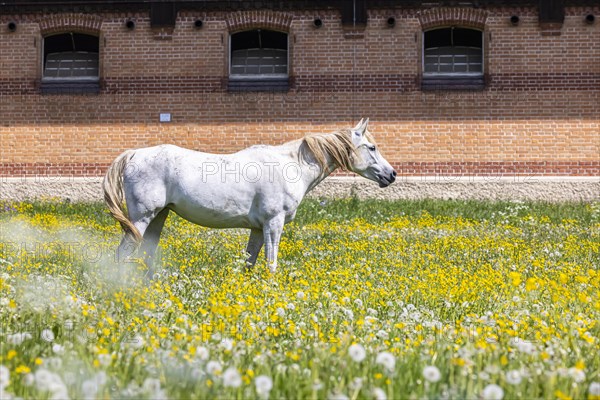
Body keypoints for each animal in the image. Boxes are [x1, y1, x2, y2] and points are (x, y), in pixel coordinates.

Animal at [103, 119, 396, 276]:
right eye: (372, 147)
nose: (391, 175)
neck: (290, 165)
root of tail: (134, 154)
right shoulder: (273, 224)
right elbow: (271, 264)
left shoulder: (257, 228)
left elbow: (249, 263)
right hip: (141, 219)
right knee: (122, 253)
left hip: (158, 217)